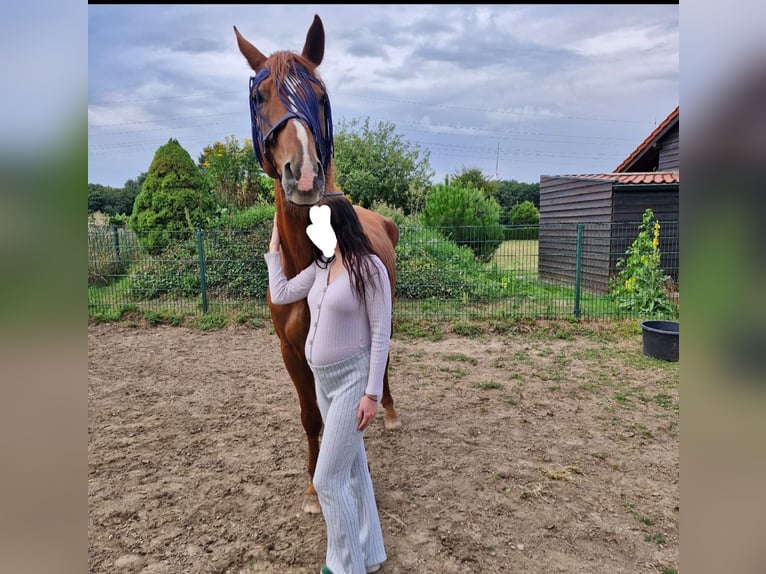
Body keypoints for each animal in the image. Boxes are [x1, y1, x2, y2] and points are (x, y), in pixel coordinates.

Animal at [233, 14, 402, 514]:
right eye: (259, 96)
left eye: (321, 97)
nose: (304, 174)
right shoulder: (291, 351)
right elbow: (312, 417)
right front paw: (312, 489)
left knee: (382, 363)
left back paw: (388, 412)